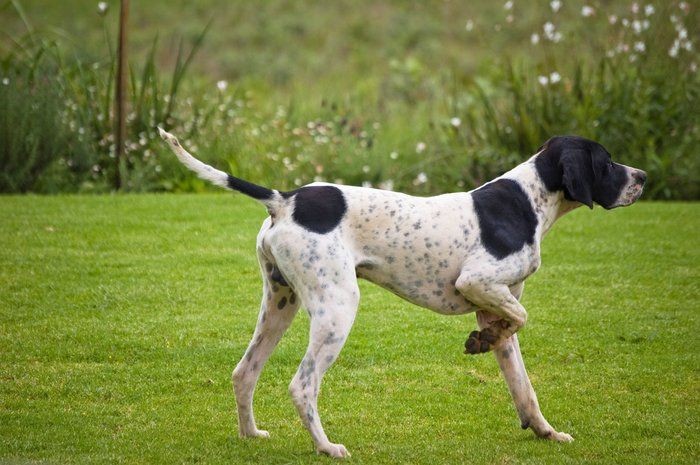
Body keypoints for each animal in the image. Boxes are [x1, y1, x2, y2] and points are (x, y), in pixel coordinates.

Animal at [157, 127, 644, 456]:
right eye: (607, 162)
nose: (642, 175)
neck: (528, 200)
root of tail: (285, 199)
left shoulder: (493, 302)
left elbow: (522, 381)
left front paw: (544, 430)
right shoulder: (477, 281)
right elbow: (520, 319)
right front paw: (480, 341)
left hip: (280, 304)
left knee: (244, 373)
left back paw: (250, 435)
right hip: (337, 309)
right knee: (303, 384)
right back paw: (326, 447)